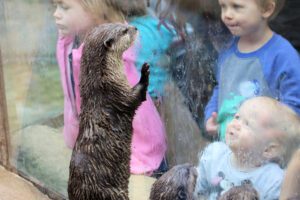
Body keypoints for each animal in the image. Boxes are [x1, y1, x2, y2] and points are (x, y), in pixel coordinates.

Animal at [67, 22, 149, 199]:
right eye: (124, 31)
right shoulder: (117, 94)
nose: (135, 28)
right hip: (112, 193)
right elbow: (135, 98)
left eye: (124, 24)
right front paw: (145, 72)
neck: (102, 81)